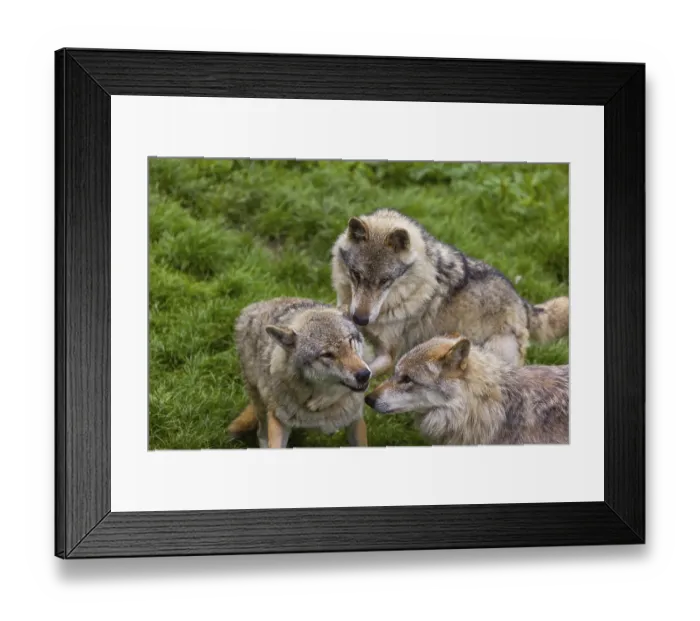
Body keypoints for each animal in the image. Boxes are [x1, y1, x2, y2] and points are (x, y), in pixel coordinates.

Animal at [226, 298, 372, 448]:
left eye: (350, 341)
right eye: (327, 355)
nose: (364, 375)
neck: (321, 404)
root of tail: (259, 304)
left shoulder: (355, 420)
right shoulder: (278, 421)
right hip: (262, 408)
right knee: (261, 434)